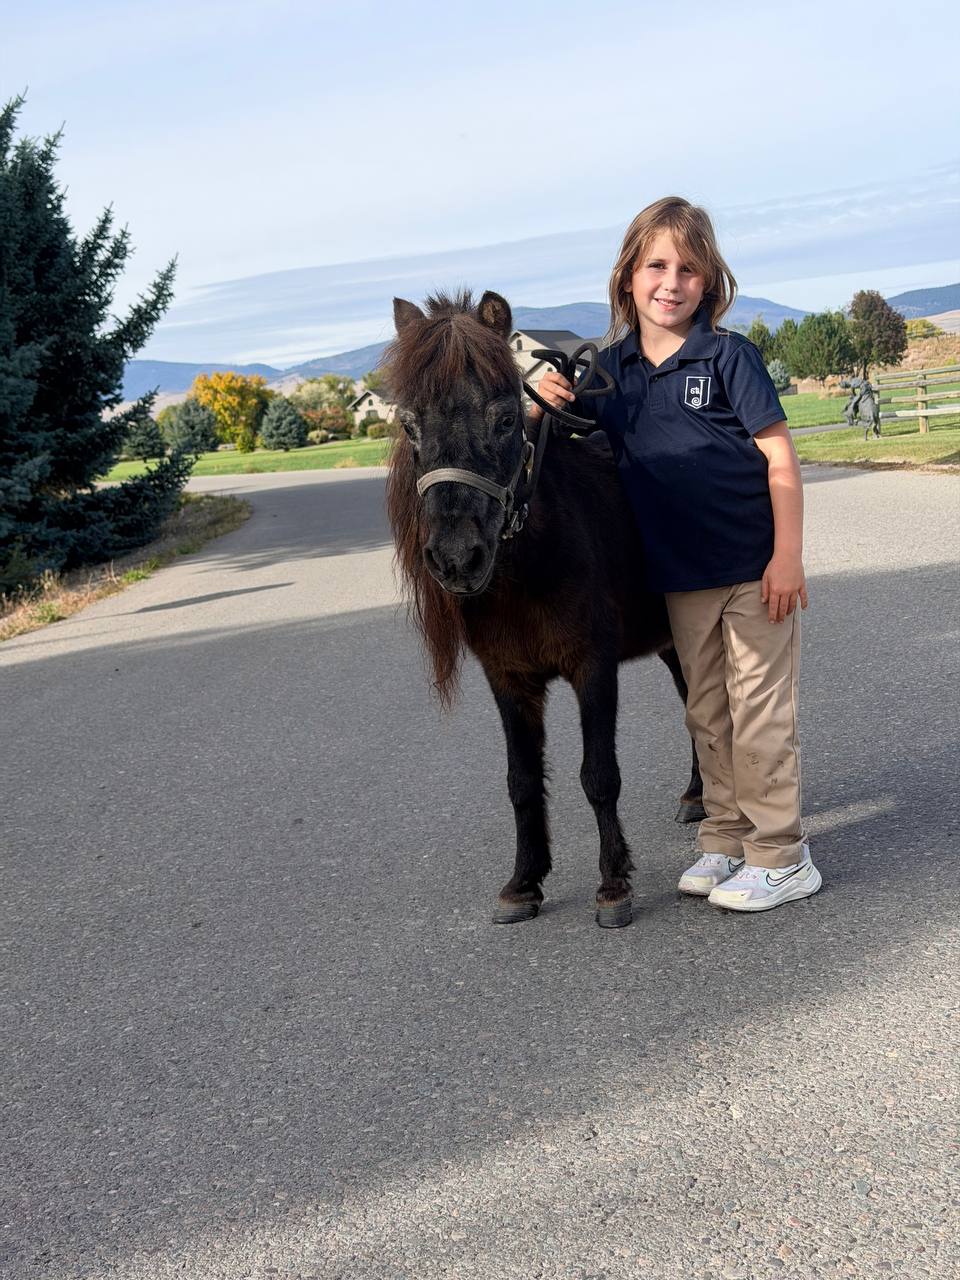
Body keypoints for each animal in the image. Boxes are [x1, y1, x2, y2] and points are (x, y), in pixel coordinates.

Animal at [384, 289, 704, 929]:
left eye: (507, 417)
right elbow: (522, 781)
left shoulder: (592, 668)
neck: (530, 569)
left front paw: (612, 885)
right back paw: (696, 795)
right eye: (409, 424)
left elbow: (598, 775)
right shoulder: (508, 680)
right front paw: (523, 882)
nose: (456, 558)